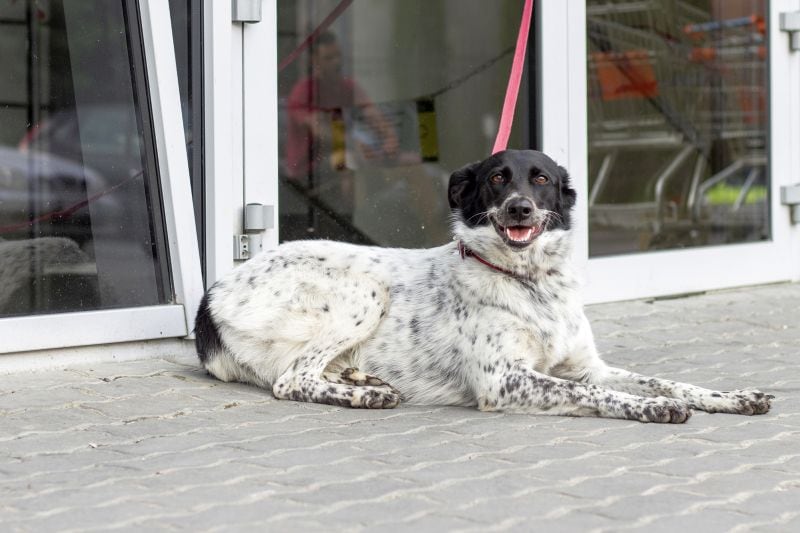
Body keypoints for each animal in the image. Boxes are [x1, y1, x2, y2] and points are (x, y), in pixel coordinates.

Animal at [191, 148, 772, 422]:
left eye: (541, 179)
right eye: (497, 178)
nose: (519, 208)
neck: (532, 283)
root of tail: (211, 296)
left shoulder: (587, 366)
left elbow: (668, 381)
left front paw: (731, 396)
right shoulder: (504, 379)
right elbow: (605, 395)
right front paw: (648, 410)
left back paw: (362, 378)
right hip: (366, 290)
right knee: (292, 378)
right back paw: (364, 395)